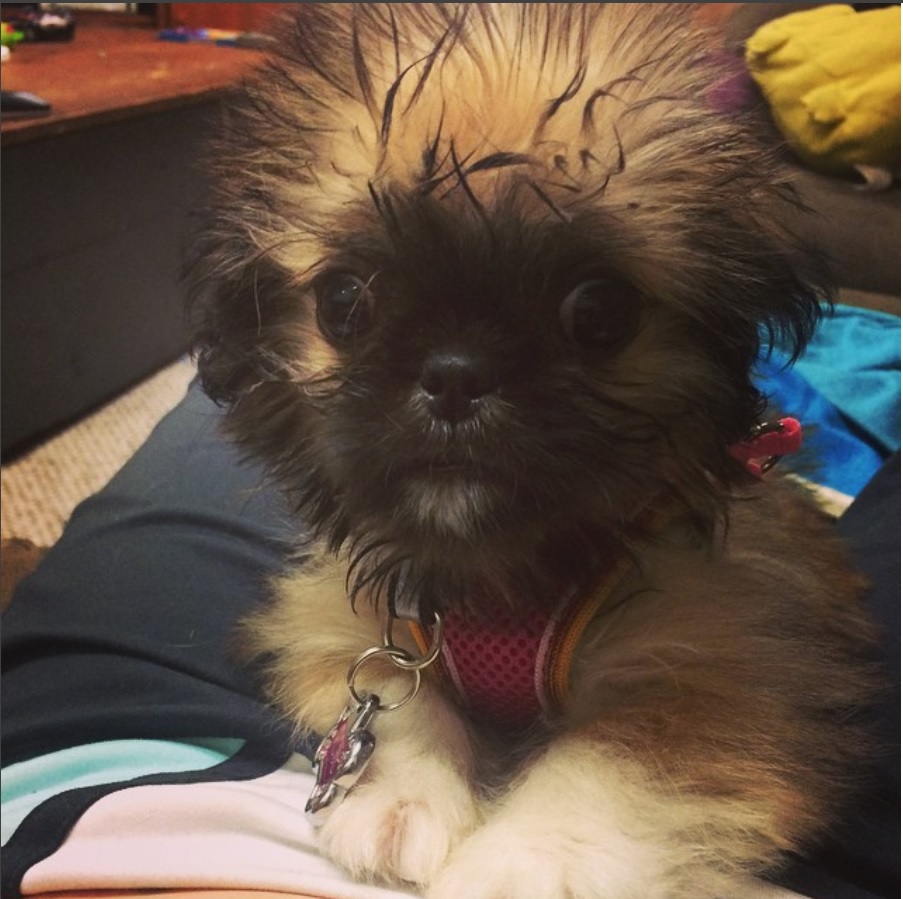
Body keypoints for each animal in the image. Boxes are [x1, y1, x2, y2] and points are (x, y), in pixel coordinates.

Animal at [192, 3, 884, 896]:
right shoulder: (339, 623)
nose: (455, 374)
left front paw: (518, 863)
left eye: (598, 310)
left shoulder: (723, 678)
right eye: (343, 301)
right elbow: (393, 692)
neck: (496, 581)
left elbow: (601, 763)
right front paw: (399, 799)